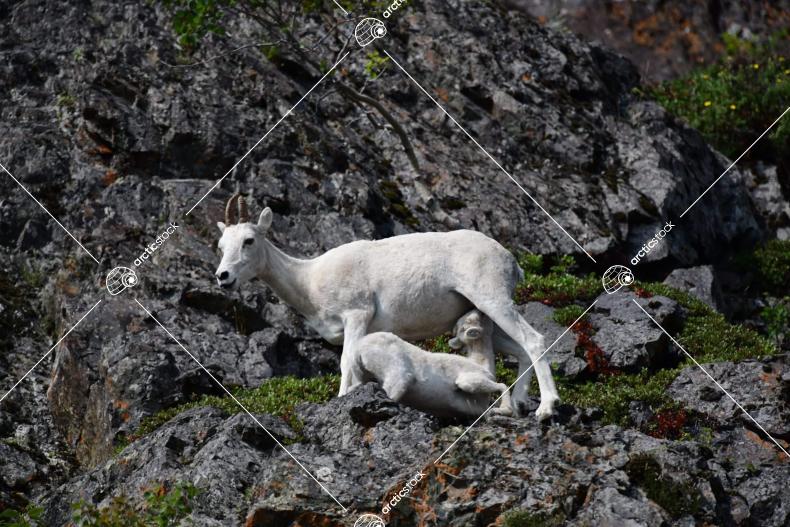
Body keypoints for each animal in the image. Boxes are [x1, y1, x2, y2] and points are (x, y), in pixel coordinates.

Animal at [354, 310, 513, 418]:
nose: (481, 310)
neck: (482, 363)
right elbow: (502, 386)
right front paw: (503, 410)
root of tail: (360, 348)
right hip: (397, 377)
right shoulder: (469, 381)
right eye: (476, 318)